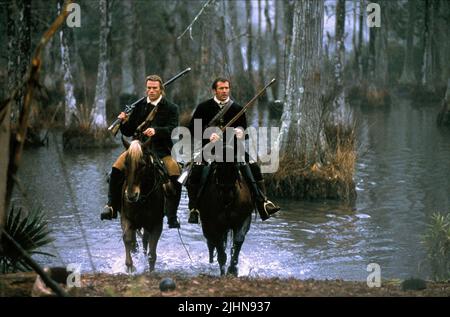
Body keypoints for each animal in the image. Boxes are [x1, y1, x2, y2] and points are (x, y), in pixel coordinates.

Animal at [121, 136, 165, 272]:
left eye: (142, 165)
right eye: (126, 163)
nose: (131, 196)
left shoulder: (156, 224)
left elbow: (152, 253)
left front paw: (151, 271)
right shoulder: (127, 219)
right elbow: (127, 239)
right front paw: (130, 267)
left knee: (145, 241)